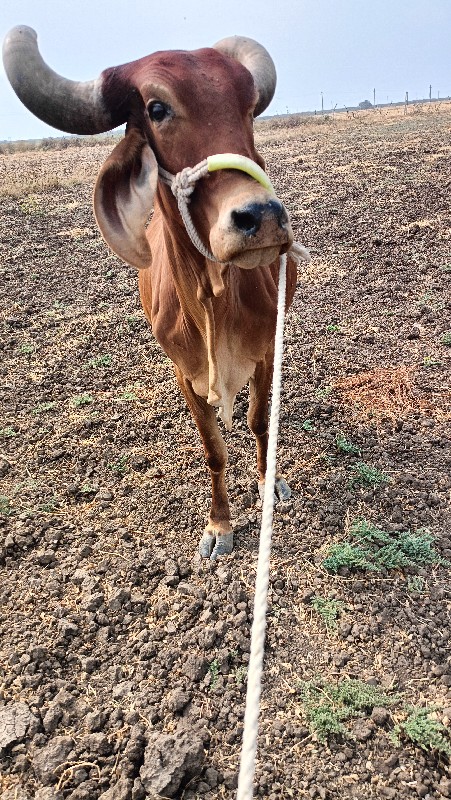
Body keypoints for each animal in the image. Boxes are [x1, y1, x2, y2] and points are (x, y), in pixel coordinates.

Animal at [3, 28, 308, 560]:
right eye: (157, 108)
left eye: (249, 105)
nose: (261, 217)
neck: (211, 300)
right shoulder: (184, 372)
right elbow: (214, 449)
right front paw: (220, 524)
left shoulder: (266, 352)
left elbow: (258, 421)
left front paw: (270, 484)